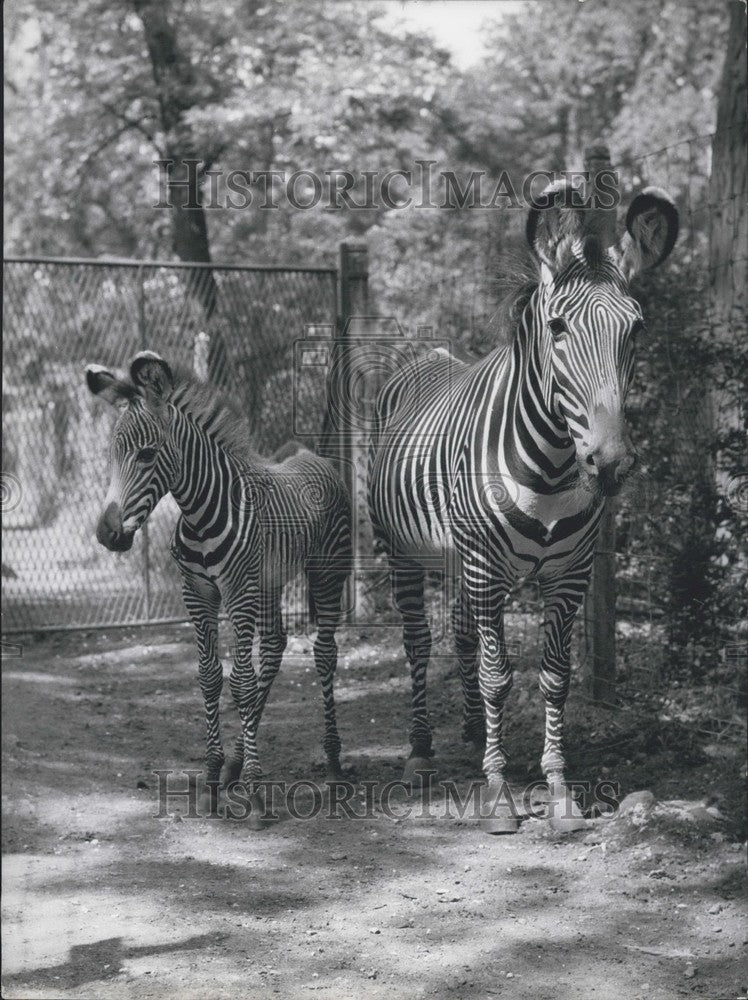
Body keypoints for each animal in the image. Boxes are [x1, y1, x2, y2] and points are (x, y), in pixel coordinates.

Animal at [86, 352, 352, 821]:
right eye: (112, 455)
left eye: (147, 454)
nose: (106, 533)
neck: (199, 513)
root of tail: (310, 456)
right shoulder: (197, 592)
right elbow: (210, 677)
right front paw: (213, 775)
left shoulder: (238, 590)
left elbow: (241, 682)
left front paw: (255, 791)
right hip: (268, 581)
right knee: (275, 645)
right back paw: (235, 764)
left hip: (325, 572)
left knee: (324, 653)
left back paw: (333, 760)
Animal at [368, 181, 678, 832]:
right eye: (557, 327)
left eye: (635, 331)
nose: (613, 464)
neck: (553, 467)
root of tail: (429, 356)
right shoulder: (488, 569)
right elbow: (497, 675)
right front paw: (498, 791)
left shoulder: (570, 574)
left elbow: (555, 679)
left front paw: (558, 790)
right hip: (405, 554)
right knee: (418, 642)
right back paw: (420, 752)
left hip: (459, 559)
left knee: (462, 635)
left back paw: (467, 733)